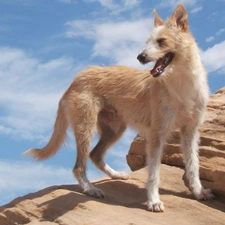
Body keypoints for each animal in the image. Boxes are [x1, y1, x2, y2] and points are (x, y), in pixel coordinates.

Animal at [23, 4, 214, 213]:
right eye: (147, 42)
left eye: (161, 41)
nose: (140, 56)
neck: (180, 82)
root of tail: (76, 79)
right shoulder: (157, 134)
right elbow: (154, 172)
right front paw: (154, 200)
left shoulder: (190, 131)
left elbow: (193, 165)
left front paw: (198, 192)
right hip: (86, 127)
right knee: (79, 166)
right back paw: (91, 189)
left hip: (114, 128)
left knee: (95, 155)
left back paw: (115, 175)